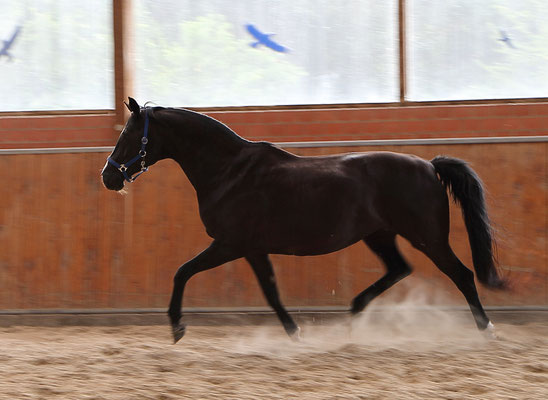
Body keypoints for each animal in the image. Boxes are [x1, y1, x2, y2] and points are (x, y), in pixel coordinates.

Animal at [100, 97, 508, 344]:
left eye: (129, 135)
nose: (108, 177)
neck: (230, 171)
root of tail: (429, 165)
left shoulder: (231, 244)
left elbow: (183, 272)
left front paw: (178, 327)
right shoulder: (252, 249)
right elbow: (270, 291)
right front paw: (295, 333)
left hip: (428, 237)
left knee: (461, 275)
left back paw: (486, 329)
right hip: (380, 235)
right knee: (398, 269)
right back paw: (353, 316)